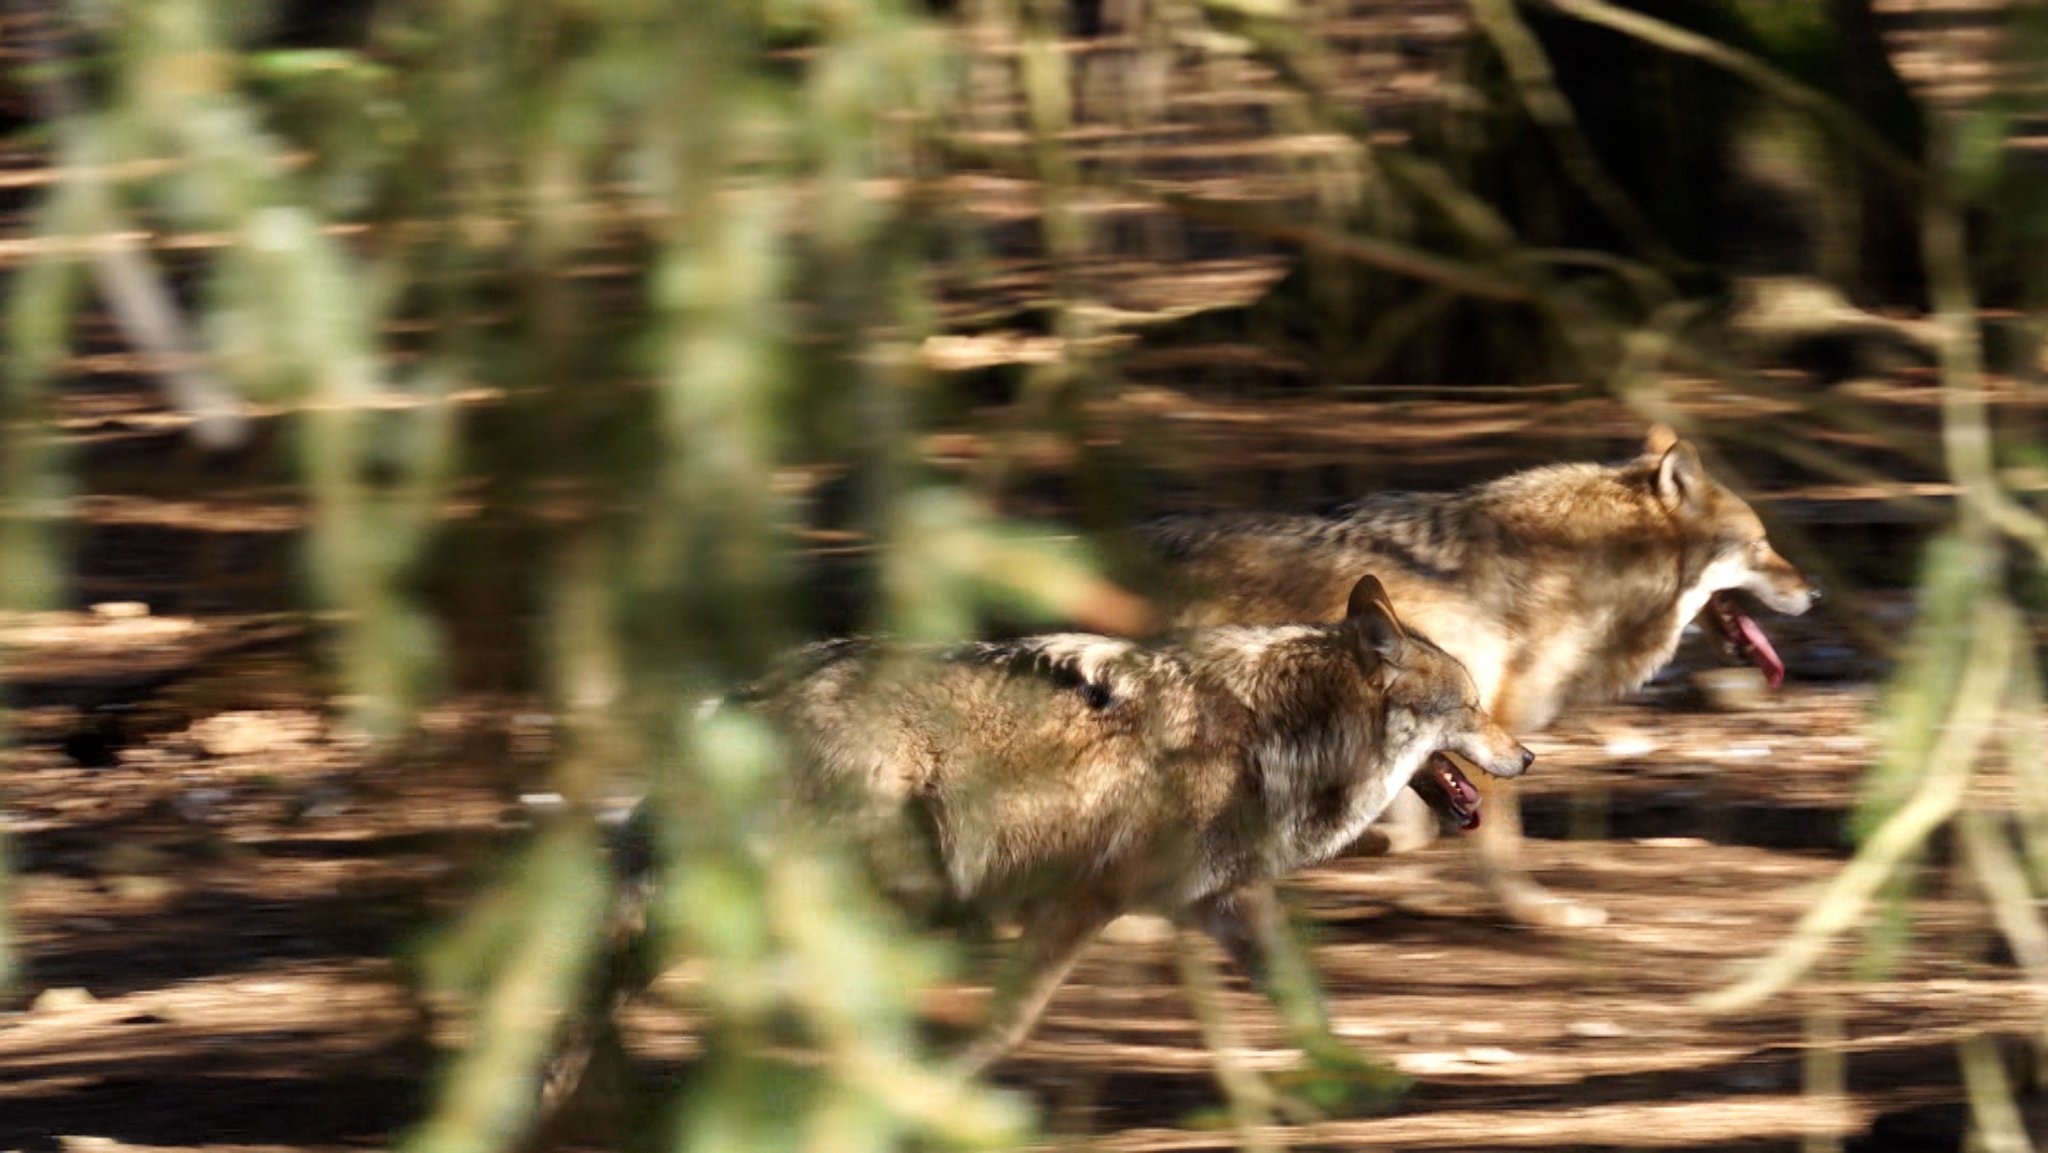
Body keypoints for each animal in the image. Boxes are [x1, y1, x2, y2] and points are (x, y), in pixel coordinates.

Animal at [585, 573, 1531, 1081]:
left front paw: (1351, 1076)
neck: (1275, 733)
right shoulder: (1084, 902)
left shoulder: (1222, 901)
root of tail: (740, 695)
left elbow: (1307, 998)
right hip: (891, 885)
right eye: (1470, 706)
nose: (1527, 753)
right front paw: (953, 1089)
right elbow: (1009, 1020)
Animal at [1146, 428, 1818, 933]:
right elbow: (1497, 848)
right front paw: (1544, 914)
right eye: (1762, 545)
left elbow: (1417, 828)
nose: (1815, 593)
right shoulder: (1489, 730)